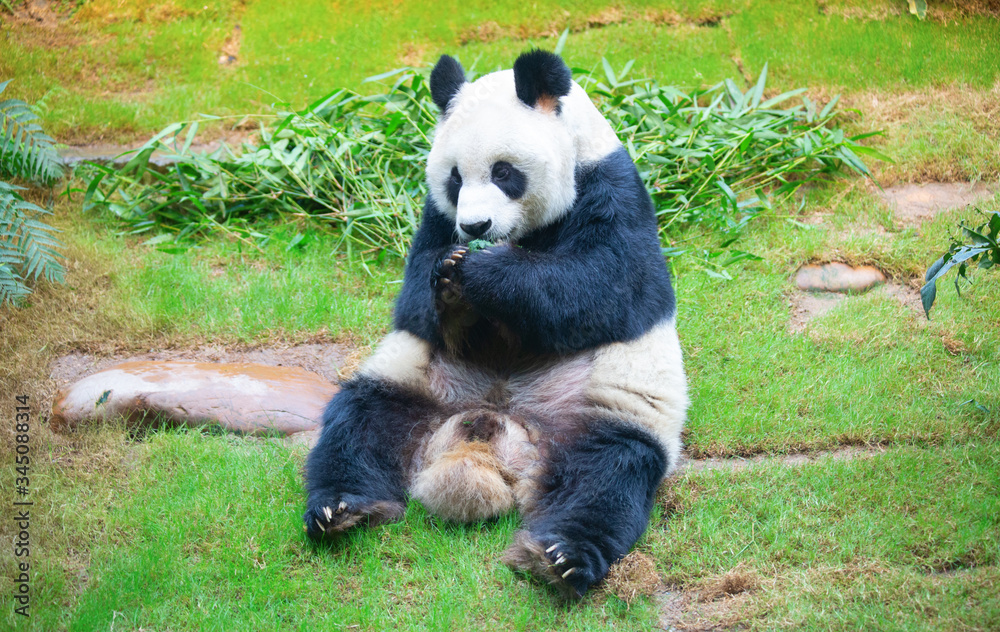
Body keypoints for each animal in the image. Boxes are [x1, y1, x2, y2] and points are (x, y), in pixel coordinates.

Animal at [303, 49, 688, 599]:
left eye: (504, 172)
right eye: (455, 179)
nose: (475, 226)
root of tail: (495, 442)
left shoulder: (613, 192)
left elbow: (607, 286)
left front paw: (481, 274)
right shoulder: (435, 218)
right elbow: (416, 299)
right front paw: (453, 286)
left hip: (604, 408)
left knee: (607, 474)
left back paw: (558, 555)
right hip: (414, 384)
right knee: (359, 426)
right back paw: (341, 508)